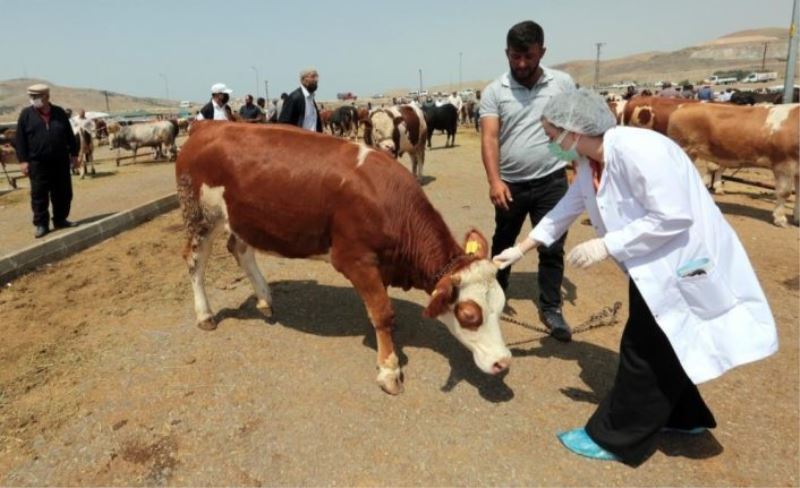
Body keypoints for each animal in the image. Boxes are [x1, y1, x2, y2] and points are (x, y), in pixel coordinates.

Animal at [176, 121, 512, 392]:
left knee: (240, 249)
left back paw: (264, 299)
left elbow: (380, 308)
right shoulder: (355, 260)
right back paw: (205, 314)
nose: (503, 362)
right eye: (468, 314)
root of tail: (208, 125)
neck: (391, 205)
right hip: (200, 215)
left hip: (243, 219)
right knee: (195, 261)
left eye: (500, 306)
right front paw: (389, 368)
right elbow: (382, 312)